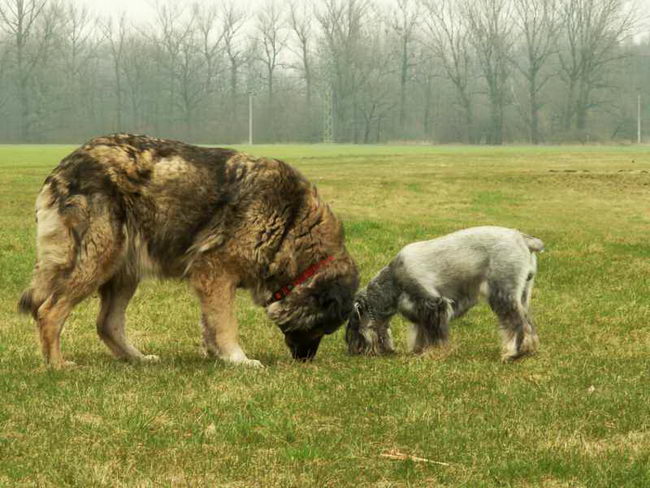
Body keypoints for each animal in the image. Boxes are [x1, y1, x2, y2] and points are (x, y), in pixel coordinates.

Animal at [19, 132, 360, 368]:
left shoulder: (212, 282)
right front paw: (237, 359)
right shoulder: (215, 272)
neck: (291, 225)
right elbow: (226, 323)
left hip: (124, 269)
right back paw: (57, 365)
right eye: (322, 328)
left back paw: (136, 358)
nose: (306, 361)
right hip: (97, 260)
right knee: (49, 312)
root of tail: (63, 168)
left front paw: (217, 354)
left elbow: (211, 322)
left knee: (107, 324)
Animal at [344, 227, 540, 360]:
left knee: (515, 323)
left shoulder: (433, 304)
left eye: (353, 325)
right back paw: (528, 349)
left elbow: (435, 334)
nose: (354, 350)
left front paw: (432, 353)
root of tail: (523, 240)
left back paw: (511, 353)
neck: (394, 280)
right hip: (522, 295)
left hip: (503, 293)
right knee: (528, 323)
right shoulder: (420, 311)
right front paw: (418, 351)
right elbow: (422, 333)